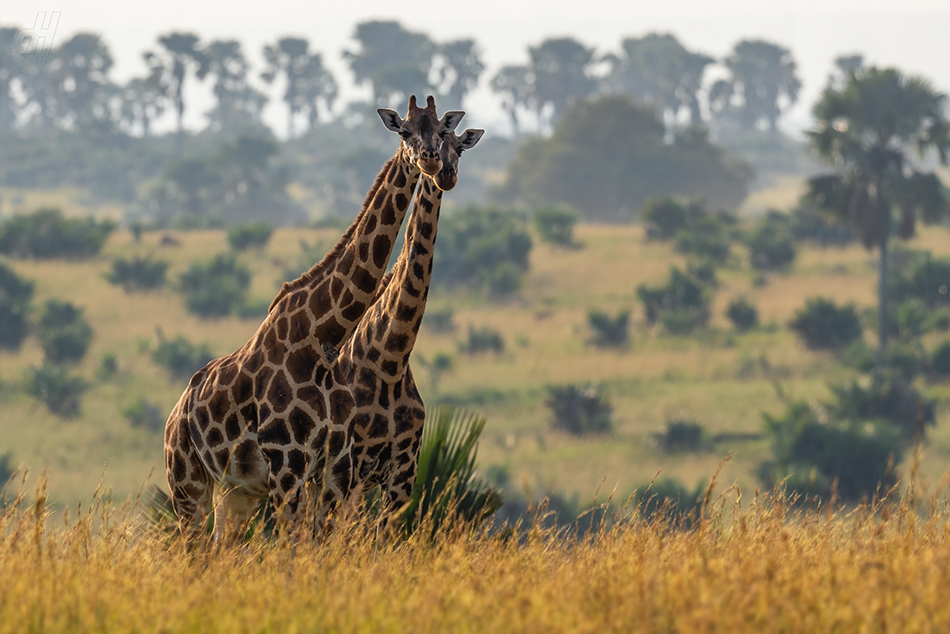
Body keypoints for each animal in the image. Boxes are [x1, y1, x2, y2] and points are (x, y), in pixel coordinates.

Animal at [165, 96, 468, 540]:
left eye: (447, 135)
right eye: (405, 132)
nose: (435, 164)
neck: (324, 337)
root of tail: (175, 414)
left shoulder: (347, 469)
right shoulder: (290, 464)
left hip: (236, 493)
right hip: (187, 483)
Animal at [334, 126, 484, 512]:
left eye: (460, 148)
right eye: (430, 144)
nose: (446, 174)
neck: (391, 361)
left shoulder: (403, 472)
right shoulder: (353, 463)